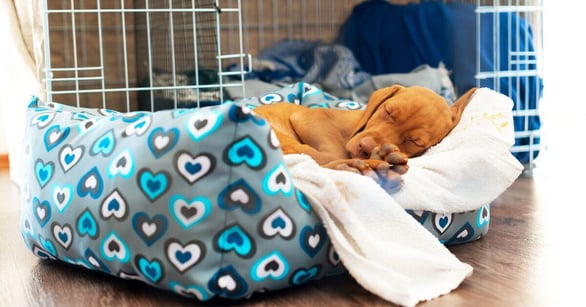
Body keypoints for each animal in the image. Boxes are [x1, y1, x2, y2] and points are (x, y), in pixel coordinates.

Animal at [252, 85, 474, 192]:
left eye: (414, 141)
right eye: (387, 111)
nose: (366, 147)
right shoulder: (307, 117)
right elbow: (333, 151)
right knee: (320, 161)